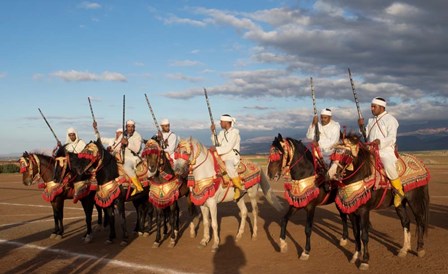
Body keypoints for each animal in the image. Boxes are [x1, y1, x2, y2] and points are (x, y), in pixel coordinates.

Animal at [328, 133, 430, 270]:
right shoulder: (352, 212)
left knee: (419, 220)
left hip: (414, 199)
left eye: (346, 154)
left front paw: (365, 261)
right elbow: (356, 234)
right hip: (400, 203)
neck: (361, 175)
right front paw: (355, 256)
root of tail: (420, 163)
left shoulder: (364, 211)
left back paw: (420, 249)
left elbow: (364, 236)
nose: (331, 174)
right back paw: (404, 249)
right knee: (406, 221)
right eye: (334, 152)